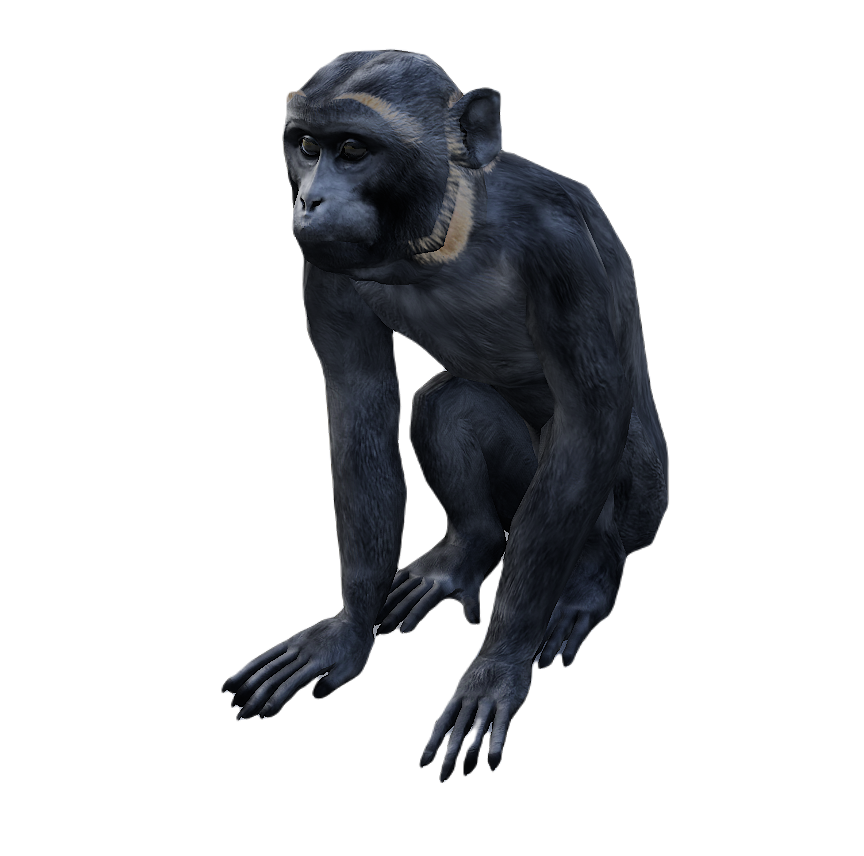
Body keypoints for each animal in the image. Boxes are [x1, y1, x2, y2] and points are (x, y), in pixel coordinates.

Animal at [223, 49, 669, 782]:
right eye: (307, 146)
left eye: (353, 150)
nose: (309, 197)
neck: (445, 237)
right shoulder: (326, 266)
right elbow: (361, 402)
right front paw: (349, 628)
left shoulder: (561, 252)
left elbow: (584, 425)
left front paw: (497, 666)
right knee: (447, 404)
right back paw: (469, 548)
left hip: (635, 507)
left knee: (580, 482)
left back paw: (589, 579)